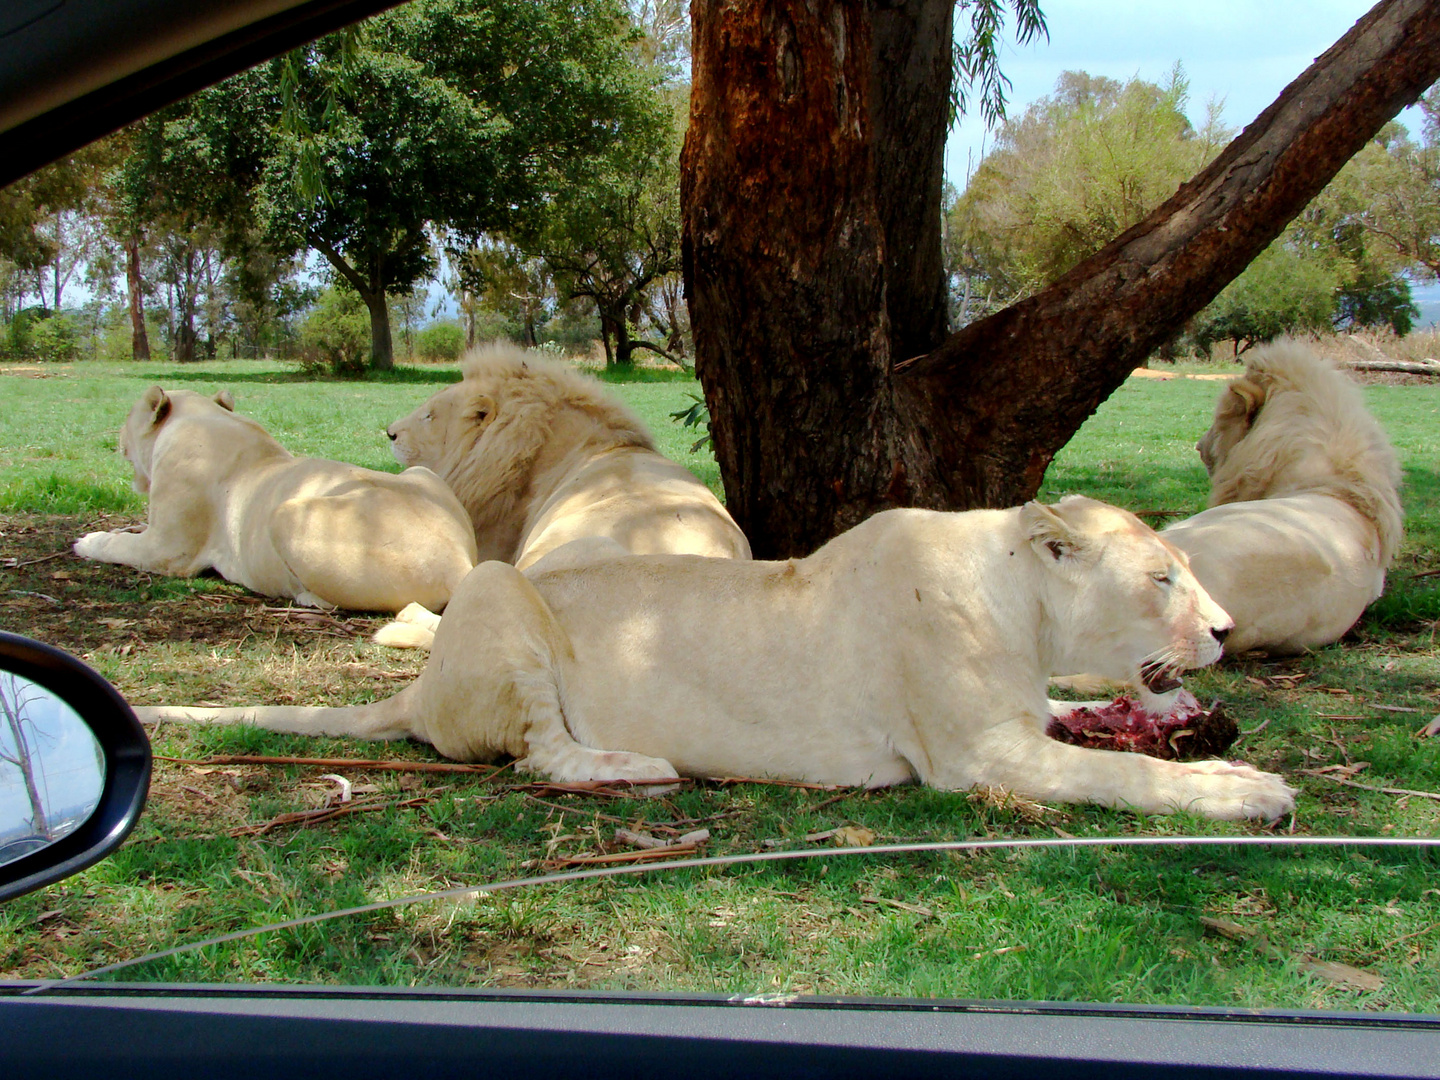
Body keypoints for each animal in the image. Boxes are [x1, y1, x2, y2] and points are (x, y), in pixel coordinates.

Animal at [75, 385, 478, 616]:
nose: (118, 438)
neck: (203, 416)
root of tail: (460, 560)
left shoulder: (169, 549)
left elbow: (117, 546)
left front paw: (86, 541)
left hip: (284, 515)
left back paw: (307, 598)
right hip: (423, 475)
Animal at [140, 498, 1301, 817]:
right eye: (1164, 577)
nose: (1227, 629)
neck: (1019, 599)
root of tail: (416, 695)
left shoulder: (1020, 718)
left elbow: (1098, 726)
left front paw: (1207, 741)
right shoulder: (982, 758)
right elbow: (1123, 777)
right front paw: (1251, 792)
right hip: (498, 591)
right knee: (541, 754)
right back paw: (638, 766)